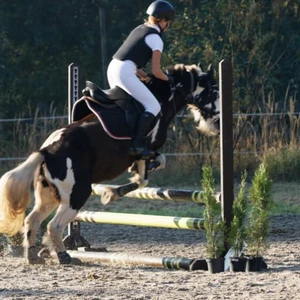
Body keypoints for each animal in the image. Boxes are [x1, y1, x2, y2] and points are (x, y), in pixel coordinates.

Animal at [0, 62, 219, 264]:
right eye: (214, 91)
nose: (217, 122)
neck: (161, 97)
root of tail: (46, 151)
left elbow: (155, 165)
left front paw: (118, 188)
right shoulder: (143, 150)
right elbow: (143, 179)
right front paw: (110, 194)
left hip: (48, 195)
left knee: (32, 220)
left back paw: (33, 256)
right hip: (76, 195)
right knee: (53, 226)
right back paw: (64, 256)